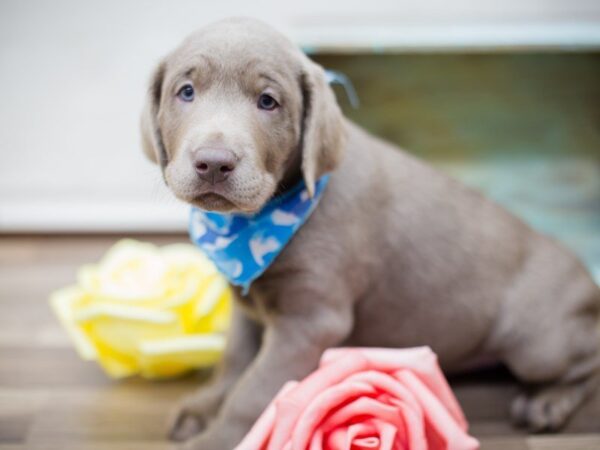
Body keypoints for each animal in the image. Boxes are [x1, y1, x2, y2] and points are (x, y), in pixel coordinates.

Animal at [139, 16, 600, 446]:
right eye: (186, 92)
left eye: (268, 101)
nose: (214, 162)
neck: (255, 222)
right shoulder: (246, 301)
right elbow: (235, 360)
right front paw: (201, 408)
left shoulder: (311, 322)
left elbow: (253, 392)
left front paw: (217, 438)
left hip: (536, 343)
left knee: (589, 358)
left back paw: (548, 402)